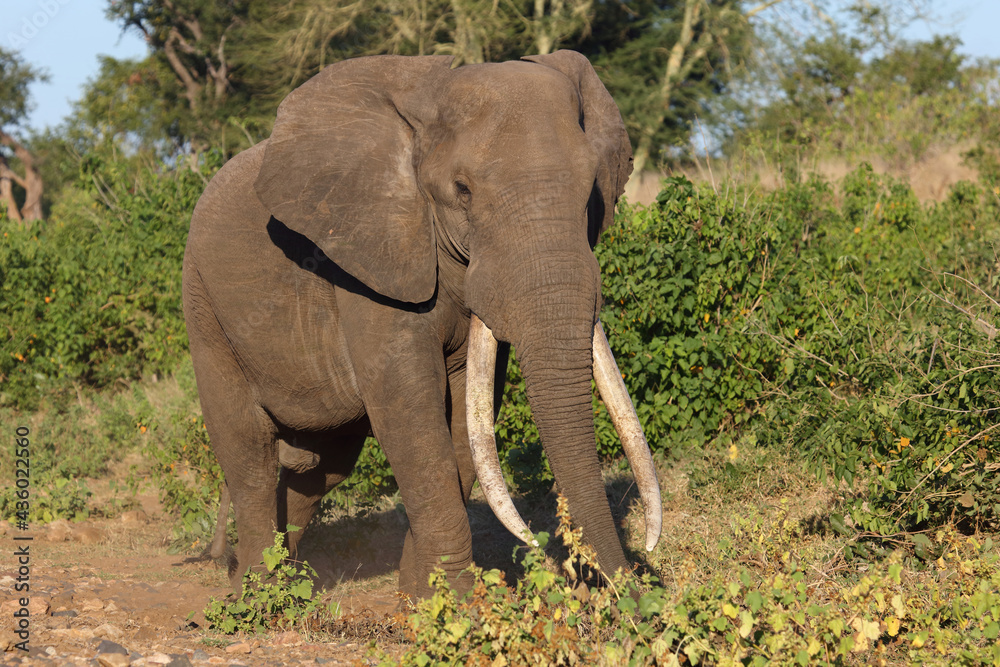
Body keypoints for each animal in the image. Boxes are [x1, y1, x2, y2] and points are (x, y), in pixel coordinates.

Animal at [183, 49, 660, 596]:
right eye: (462, 190)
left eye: (590, 194)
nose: (631, 591)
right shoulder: (371, 259)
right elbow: (410, 403)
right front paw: (458, 599)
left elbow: (466, 411)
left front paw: (421, 596)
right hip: (203, 304)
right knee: (250, 455)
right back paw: (257, 594)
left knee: (320, 466)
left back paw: (286, 578)